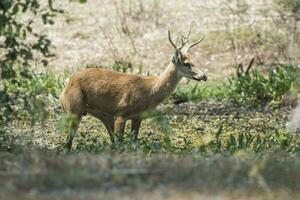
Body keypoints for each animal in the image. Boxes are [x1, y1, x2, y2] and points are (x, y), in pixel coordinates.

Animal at [59, 28, 207, 150]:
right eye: (186, 63)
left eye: (194, 60)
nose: (204, 76)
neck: (150, 90)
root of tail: (65, 88)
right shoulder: (121, 113)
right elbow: (121, 143)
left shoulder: (138, 117)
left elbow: (134, 143)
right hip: (74, 108)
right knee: (68, 142)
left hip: (101, 115)